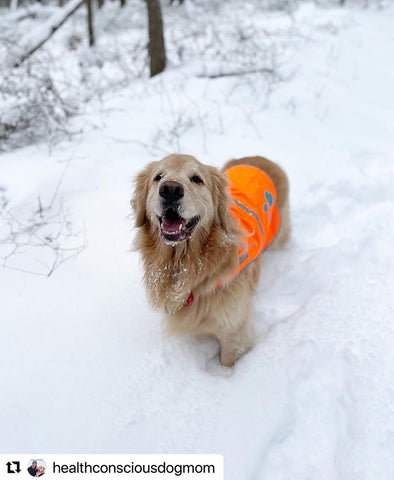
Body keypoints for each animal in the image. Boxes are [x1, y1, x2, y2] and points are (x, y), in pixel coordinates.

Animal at [132, 156, 290, 366]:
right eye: (158, 177)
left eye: (197, 179)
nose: (170, 189)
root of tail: (261, 157)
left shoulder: (235, 328)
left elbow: (227, 360)